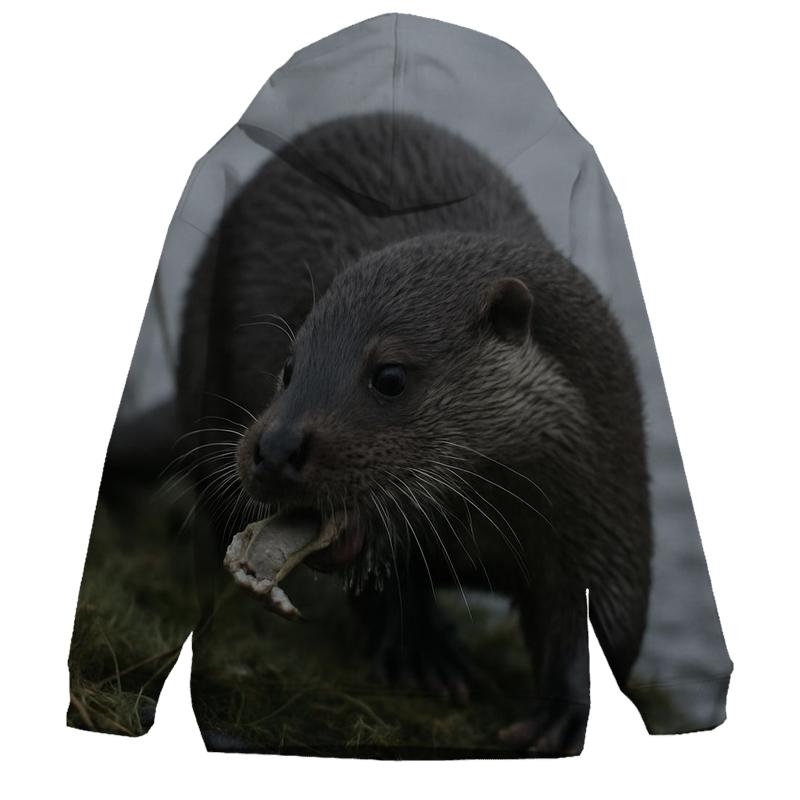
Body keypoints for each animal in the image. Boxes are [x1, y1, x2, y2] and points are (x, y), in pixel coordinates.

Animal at [176, 111, 652, 756]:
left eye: (390, 376)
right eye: (288, 368)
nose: (275, 449)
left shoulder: (606, 500)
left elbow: (592, 619)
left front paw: (564, 709)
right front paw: (425, 654)